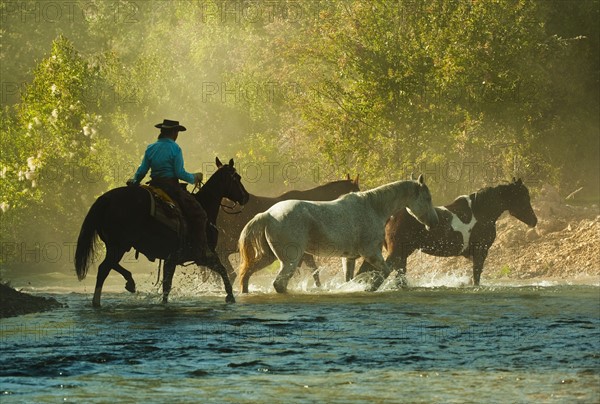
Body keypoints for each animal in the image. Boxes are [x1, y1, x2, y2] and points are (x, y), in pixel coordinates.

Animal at [74, 158, 248, 306]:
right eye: (237, 177)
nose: (245, 197)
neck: (204, 206)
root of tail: (106, 199)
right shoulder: (204, 255)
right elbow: (224, 270)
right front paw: (230, 296)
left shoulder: (170, 259)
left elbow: (166, 285)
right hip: (119, 246)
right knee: (104, 268)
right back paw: (99, 300)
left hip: (115, 245)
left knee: (108, 266)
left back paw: (128, 283)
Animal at [239, 175, 440, 292]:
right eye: (427, 198)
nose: (434, 223)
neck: (373, 207)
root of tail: (268, 214)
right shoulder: (371, 253)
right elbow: (384, 271)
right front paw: (369, 287)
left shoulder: (349, 258)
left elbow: (349, 278)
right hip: (290, 260)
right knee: (279, 284)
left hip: (269, 257)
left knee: (245, 275)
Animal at [356, 178, 540, 288]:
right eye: (523, 197)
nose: (534, 220)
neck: (481, 212)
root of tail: (391, 215)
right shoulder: (480, 252)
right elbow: (476, 277)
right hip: (397, 253)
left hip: (400, 254)